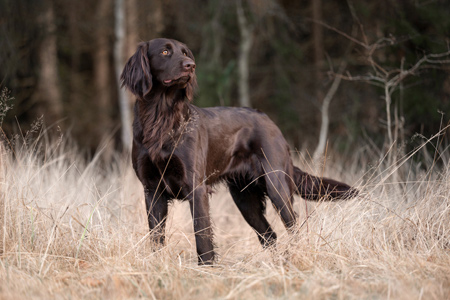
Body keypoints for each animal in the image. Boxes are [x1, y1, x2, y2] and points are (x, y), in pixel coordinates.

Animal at [120, 38, 358, 264]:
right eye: (165, 52)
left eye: (185, 53)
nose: (191, 66)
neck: (161, 118)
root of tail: (270, 121)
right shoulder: (152, 190)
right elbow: (155, 237)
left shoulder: (195, 187)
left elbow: (202, 235)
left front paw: (206, 270)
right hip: (245, 198)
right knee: (269, 235)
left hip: (277, 186)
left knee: (293, 228)